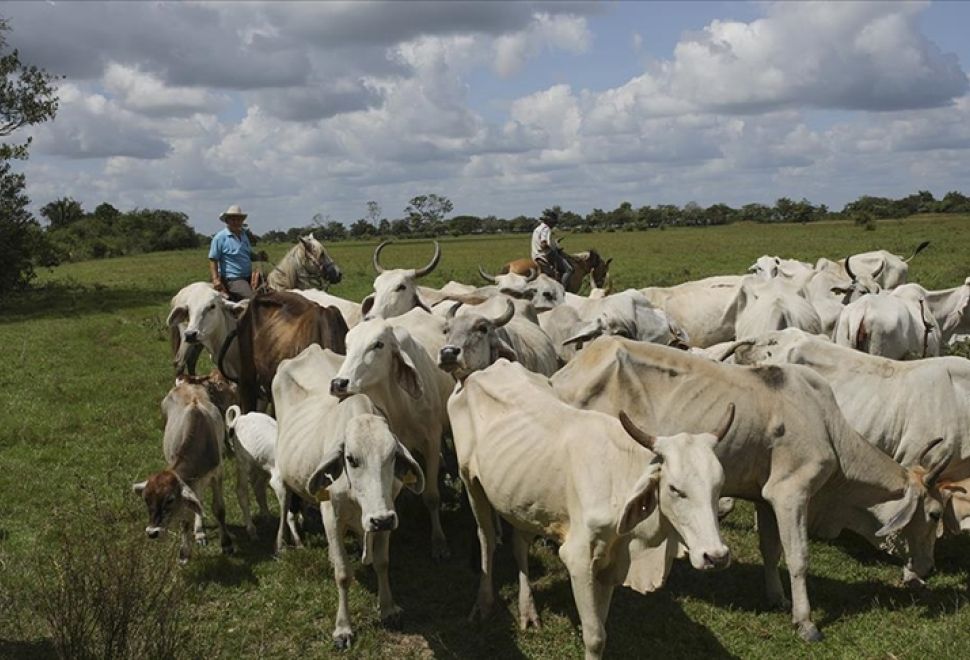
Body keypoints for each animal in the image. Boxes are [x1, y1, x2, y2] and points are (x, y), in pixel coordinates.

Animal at [272, 346, 424, 648]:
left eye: (392, 456)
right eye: (351, 459)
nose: (380, 520)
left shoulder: (387, 510)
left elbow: (382, 562)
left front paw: (388, 608)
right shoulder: (331, 515)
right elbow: (343, 574)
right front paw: (343, 629)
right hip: (283, 473)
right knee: (284, 506)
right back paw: (282, 545)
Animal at [328, 318, 452, 560]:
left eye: (378, 345)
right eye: (347, 345)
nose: (338, 384)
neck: (400, 403)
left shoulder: (431, 440)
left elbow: (432, 496)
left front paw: (439, 542)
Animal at [446, 360, 728, 660]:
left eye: (719, 486)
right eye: (675, 489)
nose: (716, 556)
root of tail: (480, 371)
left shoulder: (609, 563)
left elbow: (602, 627)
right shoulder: (578, 558)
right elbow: (594, 636)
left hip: (521, 498)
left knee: (519, 544)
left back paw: (528, 612)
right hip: (469, 479)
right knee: (486, 537)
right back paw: (483, 604)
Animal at [552, 338, 944, 640]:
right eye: (935, 514)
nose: (926, 569)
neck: (827, 426)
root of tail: (565, 373)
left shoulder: (765, 498)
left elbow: (771, 550)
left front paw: (777, 598)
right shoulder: (791, 492)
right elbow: (798, 557)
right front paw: (805, 622)